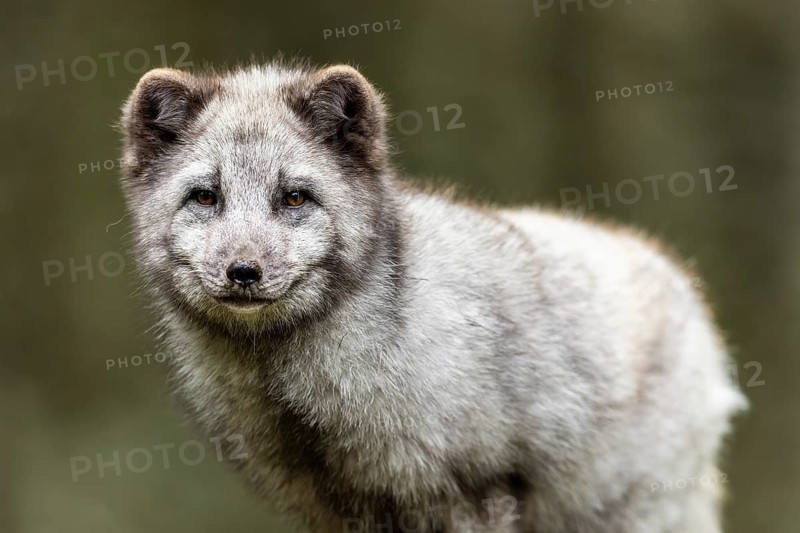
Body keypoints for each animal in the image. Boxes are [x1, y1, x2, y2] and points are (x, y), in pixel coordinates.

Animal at [118, 60, 747, 533]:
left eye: (294, 197)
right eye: (205, 197)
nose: (242, 271)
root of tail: (675, 274)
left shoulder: (470, 493)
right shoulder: (335, 510)